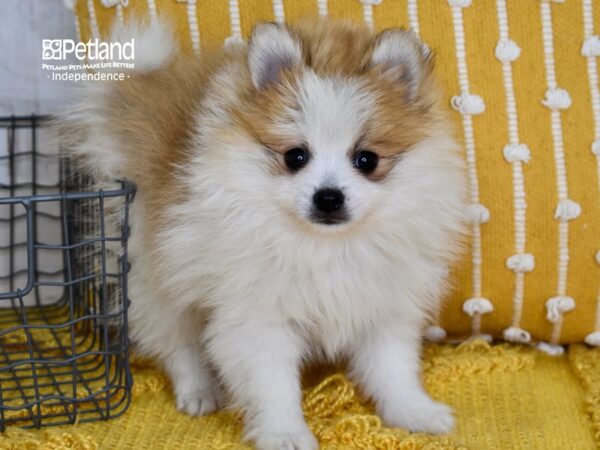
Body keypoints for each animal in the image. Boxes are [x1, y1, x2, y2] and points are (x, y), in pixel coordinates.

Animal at [67, 18, 468, 450]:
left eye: (367, 160)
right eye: (295, 157)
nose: (328, 196)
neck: (323, 246)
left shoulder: (381, 306)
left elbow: (393, 369)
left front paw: (414, 412)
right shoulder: (258, 317)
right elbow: (273, 385)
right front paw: (285, 432)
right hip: (153, 269)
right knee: (178, 341)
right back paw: (199, 391)